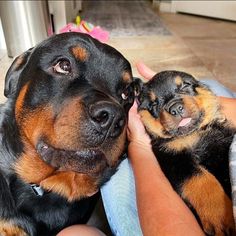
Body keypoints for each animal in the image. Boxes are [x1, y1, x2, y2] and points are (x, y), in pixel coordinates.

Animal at [136, 70, 236, 236]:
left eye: (184, 85)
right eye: (153, 104)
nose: (175, 108)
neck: (192, 134)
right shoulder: (175, 159)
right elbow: (201, 179)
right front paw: (221, 216)